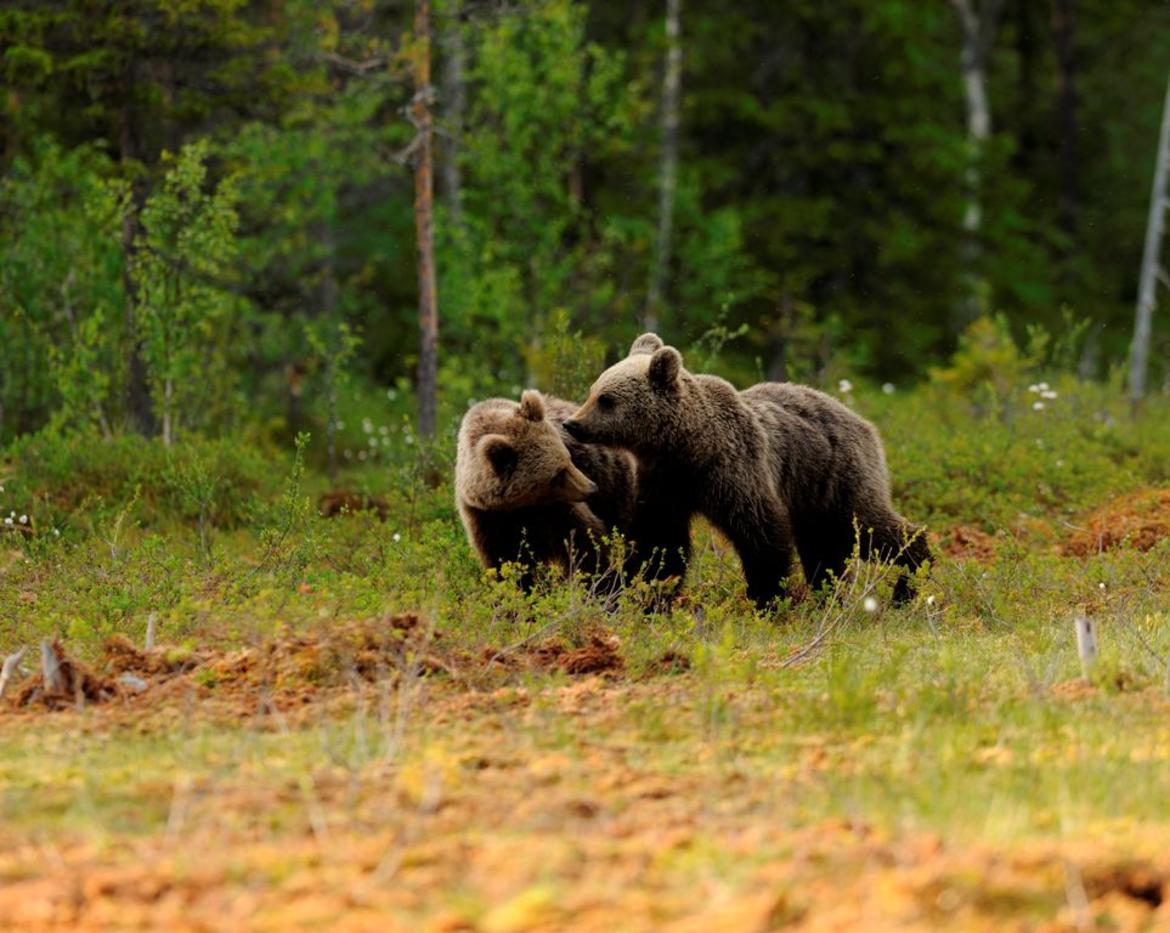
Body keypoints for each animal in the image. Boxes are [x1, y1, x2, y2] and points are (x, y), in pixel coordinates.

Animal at [456, 389, 640, 591]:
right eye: (556, 474)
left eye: (569, 458)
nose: (592, 489)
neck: (518, 506)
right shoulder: (485, 517)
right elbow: (503, 560)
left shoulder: (555, 508)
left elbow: (583, 540)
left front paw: (601, 583)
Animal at [563, 334, 931, 609]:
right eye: (593, 390)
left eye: (606, 399)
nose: (572, 423)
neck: (686, 446)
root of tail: (863, 421)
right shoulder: (664, 483)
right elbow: (661, 541)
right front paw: (642, 592)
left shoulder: (733, 470)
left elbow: (760, 532)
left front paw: (766, 598)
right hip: (813, 495)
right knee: (825, 550)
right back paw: (830, 594)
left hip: (838, 476)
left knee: (867, 525)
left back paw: (911, 578)